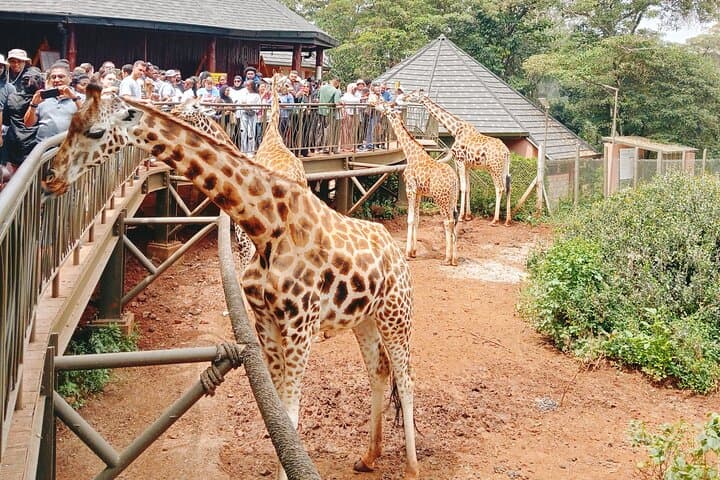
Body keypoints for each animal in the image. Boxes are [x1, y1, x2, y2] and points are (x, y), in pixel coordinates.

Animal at [44, 84, 420, 480]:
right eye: (72, 121)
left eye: (95, 131)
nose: (50, 176)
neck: (266, 227)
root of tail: (396, 254)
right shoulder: (266, 323)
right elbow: (278, 416)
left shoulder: (300, 327)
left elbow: (290, 416)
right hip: (364, 318)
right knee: (379, 371)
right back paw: (369, 456)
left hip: (397, 314)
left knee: (406, 378)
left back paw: (411, 466)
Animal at [376, 102, 459, 265]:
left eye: (385, 106)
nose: (376, 105)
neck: (411, 153)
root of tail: (454, 180)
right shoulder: (419, 191)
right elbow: (417, 219)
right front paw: (413, 252)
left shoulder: (411, 188)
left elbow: (409, 219)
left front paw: (407, 254)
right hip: (452, 198)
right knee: (453, 221)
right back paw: (454, 259)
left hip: (441, 198)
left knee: (447, 221)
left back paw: (447, 259)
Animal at [406, 90, 512, 226]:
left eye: (413, 94)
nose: (405, 96)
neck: (455, 129)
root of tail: (506, 151)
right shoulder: (467, 165)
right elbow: (468, 188)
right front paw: (468, 216)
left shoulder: (459, 161)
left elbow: (462, 187)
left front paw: (461, 216)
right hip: (504, 168)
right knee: (508, 187)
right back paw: (508, 220)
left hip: (494, 168)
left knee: (499, 188)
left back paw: (495, 220)